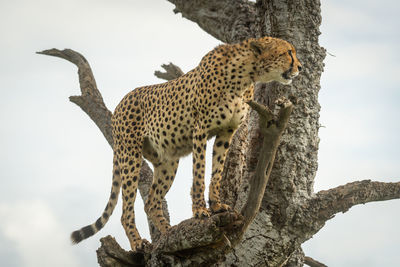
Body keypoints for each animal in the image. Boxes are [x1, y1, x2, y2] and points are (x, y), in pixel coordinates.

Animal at [71, 36, 300, 251]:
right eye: (288, 52)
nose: (300, 67)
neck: (245, 75)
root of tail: (121, 102)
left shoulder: (226, 132)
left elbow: (217, 171)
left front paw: (216, 205)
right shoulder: (200, 130)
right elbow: (199, 173)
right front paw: (200, 210)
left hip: (167, 161)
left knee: (152, 202)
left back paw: (168, 232)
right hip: (130, 155)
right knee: (127, 208)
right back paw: (137, 242)